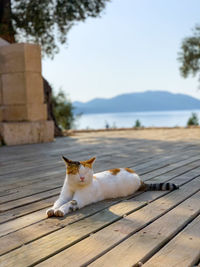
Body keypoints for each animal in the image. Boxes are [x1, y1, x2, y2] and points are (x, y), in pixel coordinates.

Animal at [46, 157, 179, 218]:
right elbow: (58, 202)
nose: (83, 178)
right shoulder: (63, 197)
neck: (75, 186)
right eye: (77, 172)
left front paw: (60, 211)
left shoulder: (79, 200)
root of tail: (140, 178)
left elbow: (68, 204)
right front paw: (52, 209)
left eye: (87, 172)